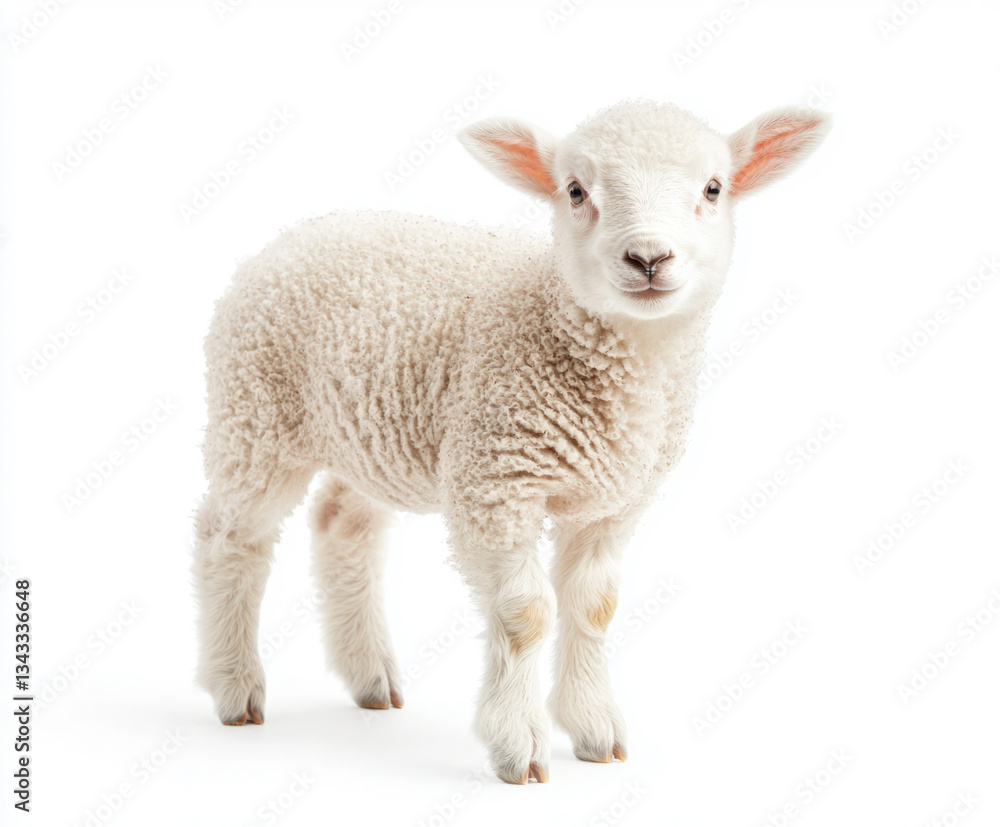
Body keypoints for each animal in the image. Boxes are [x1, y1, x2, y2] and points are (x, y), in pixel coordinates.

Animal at [193, 98, 830, 784]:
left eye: (713, 189)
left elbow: (594, 605)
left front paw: (593, 728)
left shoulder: (613, 502)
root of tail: (291, 237)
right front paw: (517, 744)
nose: (648, 259)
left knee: (343, 525)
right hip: (256, 415)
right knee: (231, 537)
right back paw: (234, 685)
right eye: (575, 191)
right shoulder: (496, 481)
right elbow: (525, 614)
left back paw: (369, 677)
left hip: (365, 435)